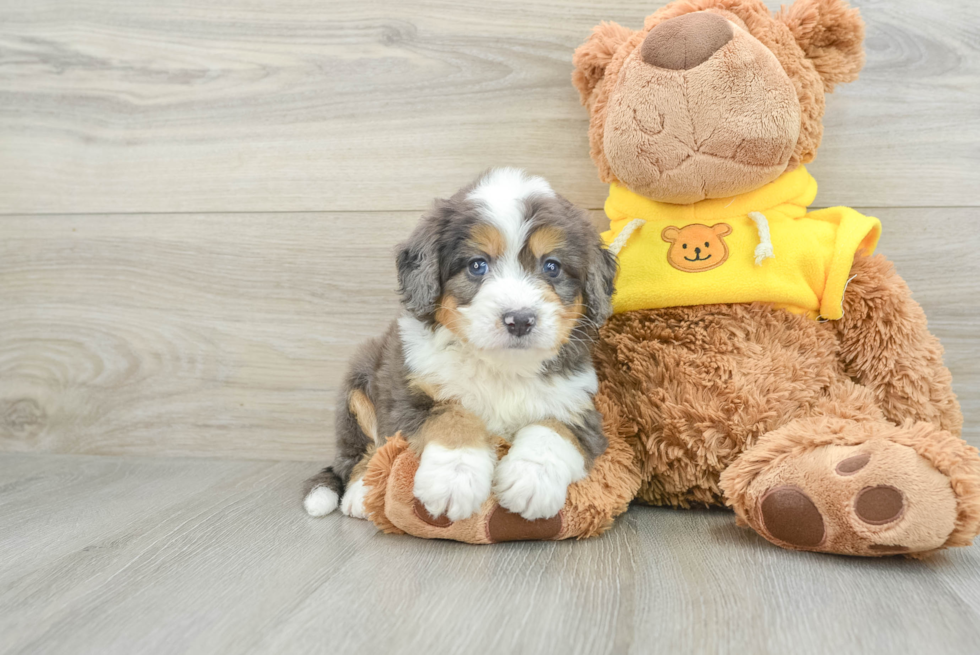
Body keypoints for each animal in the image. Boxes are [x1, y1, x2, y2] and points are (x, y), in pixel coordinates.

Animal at [302, 168, 616, 524]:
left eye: (552, 266)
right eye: (477, 265)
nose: (520, 320)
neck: (501, 368)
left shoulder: (579, 406)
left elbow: (553, 429)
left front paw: (531, 481)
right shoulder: (408, 400)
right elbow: (453, 417)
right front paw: (453, 479)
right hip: (358, 385)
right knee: (356, 455)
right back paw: (360, 493)